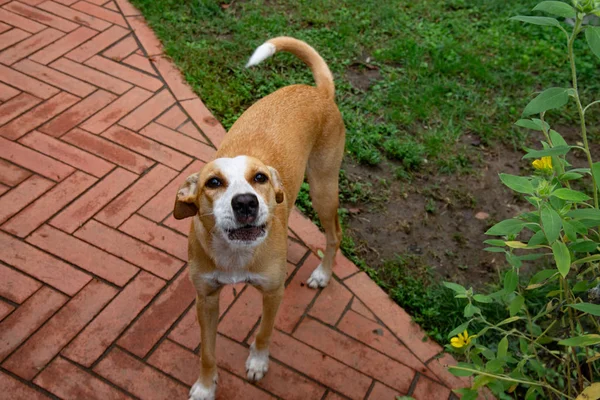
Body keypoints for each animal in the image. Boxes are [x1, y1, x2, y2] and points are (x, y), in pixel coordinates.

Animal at [173, 36, 344, 398]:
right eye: (213, 183)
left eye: (260, 178)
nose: (245, 203)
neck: (236, 254)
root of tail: (319, 92)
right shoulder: (206, 299)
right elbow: (207, 351)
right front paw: (206, 387)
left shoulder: (273, 293)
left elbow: (264, 332)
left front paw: (257, 363)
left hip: (323, 189)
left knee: (335, 234)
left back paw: (322, 274)